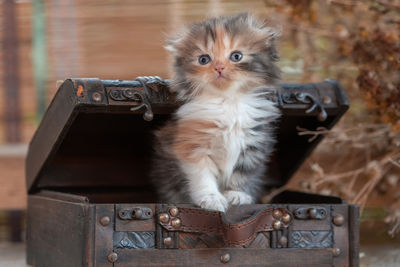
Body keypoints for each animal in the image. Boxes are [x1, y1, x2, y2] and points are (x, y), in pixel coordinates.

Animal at [152, 13, 280, 213]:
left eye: (236, 56)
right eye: (204, 59)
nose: (219, 67)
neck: (227, 101)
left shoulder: (253, 145)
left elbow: (243, 173)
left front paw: (237, 194)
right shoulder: (192, 146)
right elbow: (203, 177)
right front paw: (211, 199)